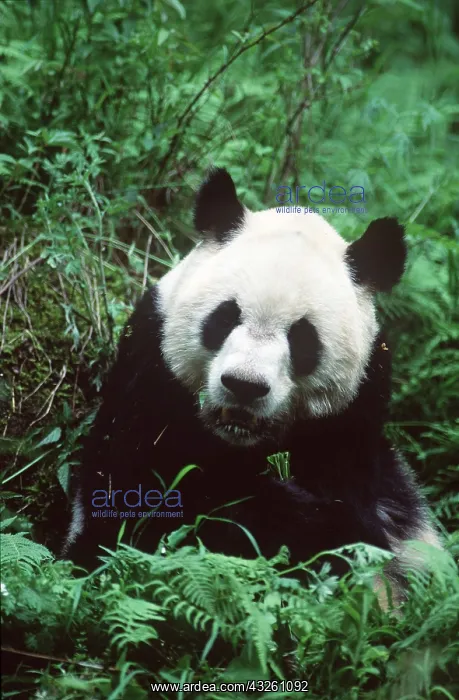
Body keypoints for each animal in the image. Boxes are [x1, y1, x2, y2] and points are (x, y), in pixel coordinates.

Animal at [64, 167, 440, 601]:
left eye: (303, 338)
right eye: (225, 317)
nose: (244, 386)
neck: (238, 442)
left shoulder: (353, 423)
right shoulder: (147, 378)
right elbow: (137, 505)